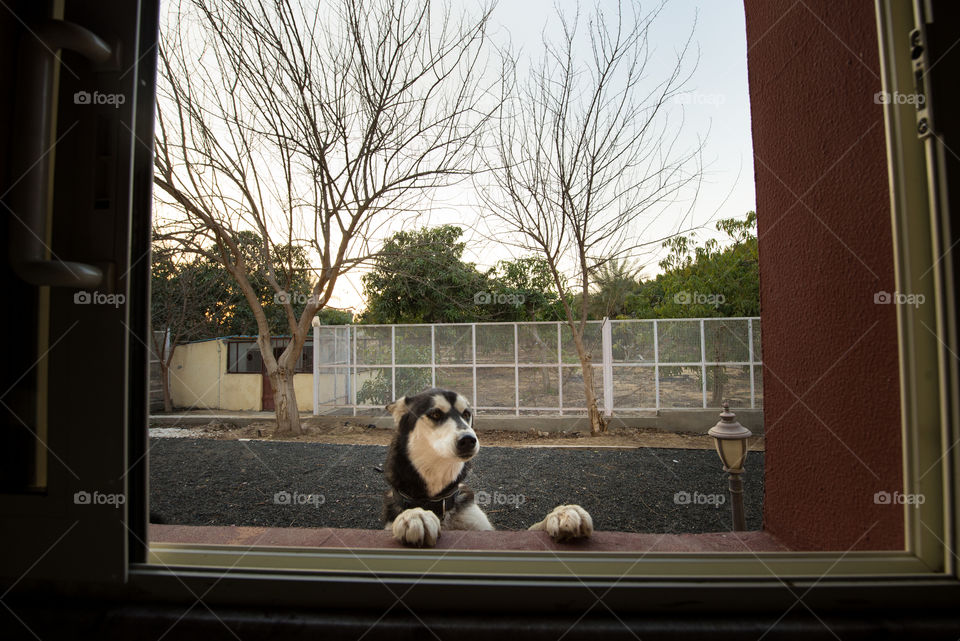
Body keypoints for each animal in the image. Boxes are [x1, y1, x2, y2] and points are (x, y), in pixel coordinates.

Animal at [382, 384, 592, 544]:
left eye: (466, 414)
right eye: (435, 414)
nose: (469, 439)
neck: (438, 502)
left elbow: (533, 529)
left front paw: (561, 514)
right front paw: (416, 514)